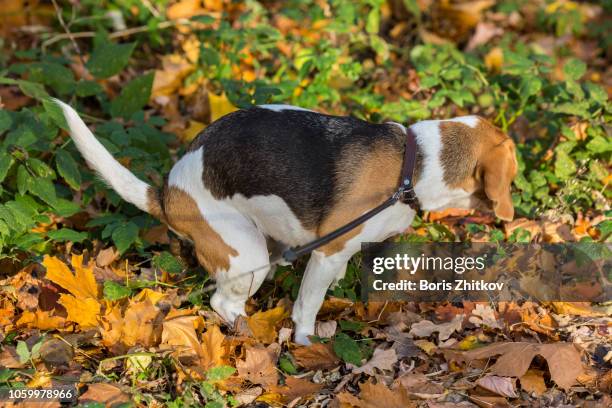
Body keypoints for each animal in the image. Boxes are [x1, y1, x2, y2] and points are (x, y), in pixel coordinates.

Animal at [56, 101, 516, 344]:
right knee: (223, 303)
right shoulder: (328, 252)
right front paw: (306, 342)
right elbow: (307, 304)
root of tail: (169, 194)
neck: (413, 164)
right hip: (247, 257)